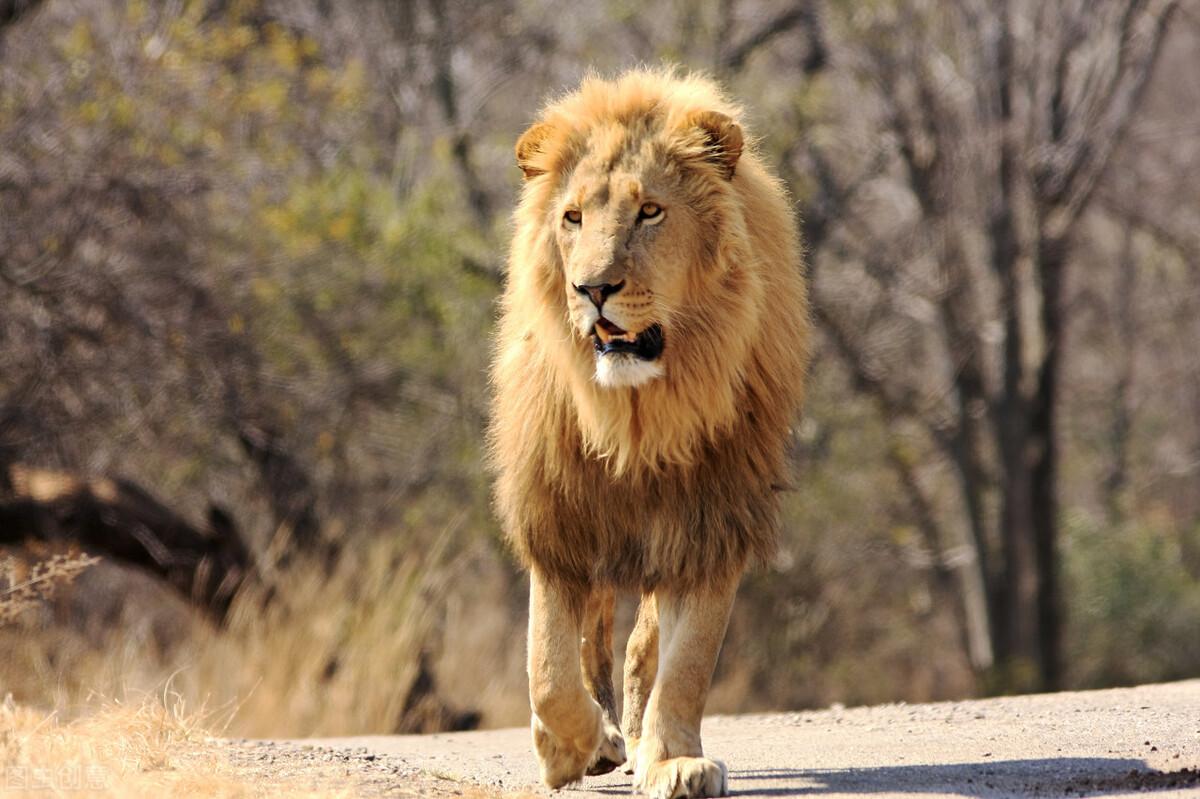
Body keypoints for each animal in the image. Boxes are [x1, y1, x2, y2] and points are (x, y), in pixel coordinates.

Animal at [484, 69, 806, 796]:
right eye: (573, 218)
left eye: (650, 213)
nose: (592, 289)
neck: (639, 413)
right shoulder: (559, 513)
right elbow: (547, 669)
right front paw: (572, 748)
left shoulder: (712, 517)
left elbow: (687, 664)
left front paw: (671, 759)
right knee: (591, 636)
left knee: (639, 646)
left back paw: (632, 734)